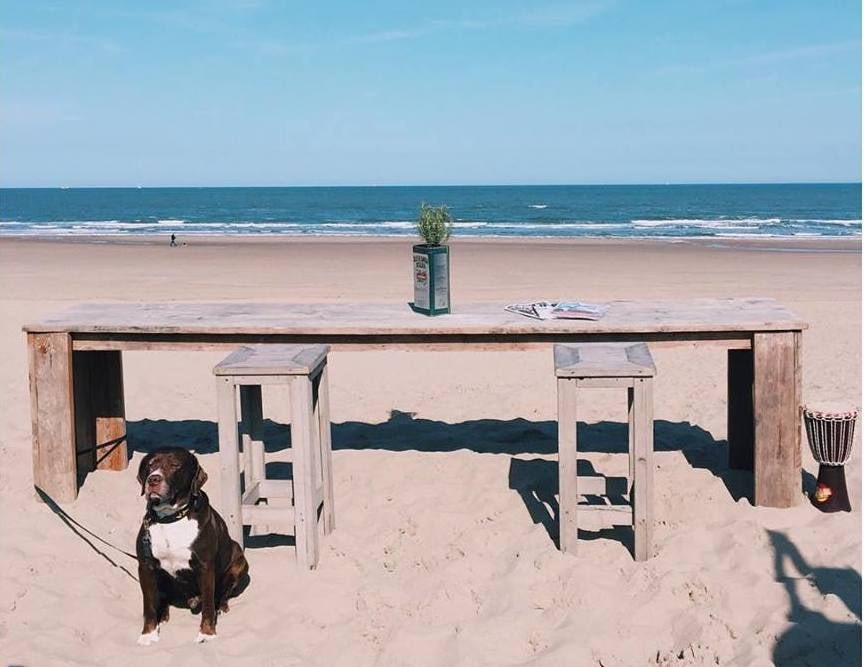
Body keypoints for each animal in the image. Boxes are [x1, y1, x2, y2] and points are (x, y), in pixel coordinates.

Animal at [135, 448, 248, 648]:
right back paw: (163, 614)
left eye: (175, 465)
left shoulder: (205, 567)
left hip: (239, 560)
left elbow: (208, 606)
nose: (153, 479)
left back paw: (221, 606)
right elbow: (148, 605)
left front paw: (207, 634)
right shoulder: (145, 567)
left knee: (222, 593)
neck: (170, 518)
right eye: (150, 464)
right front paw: (148, 633)